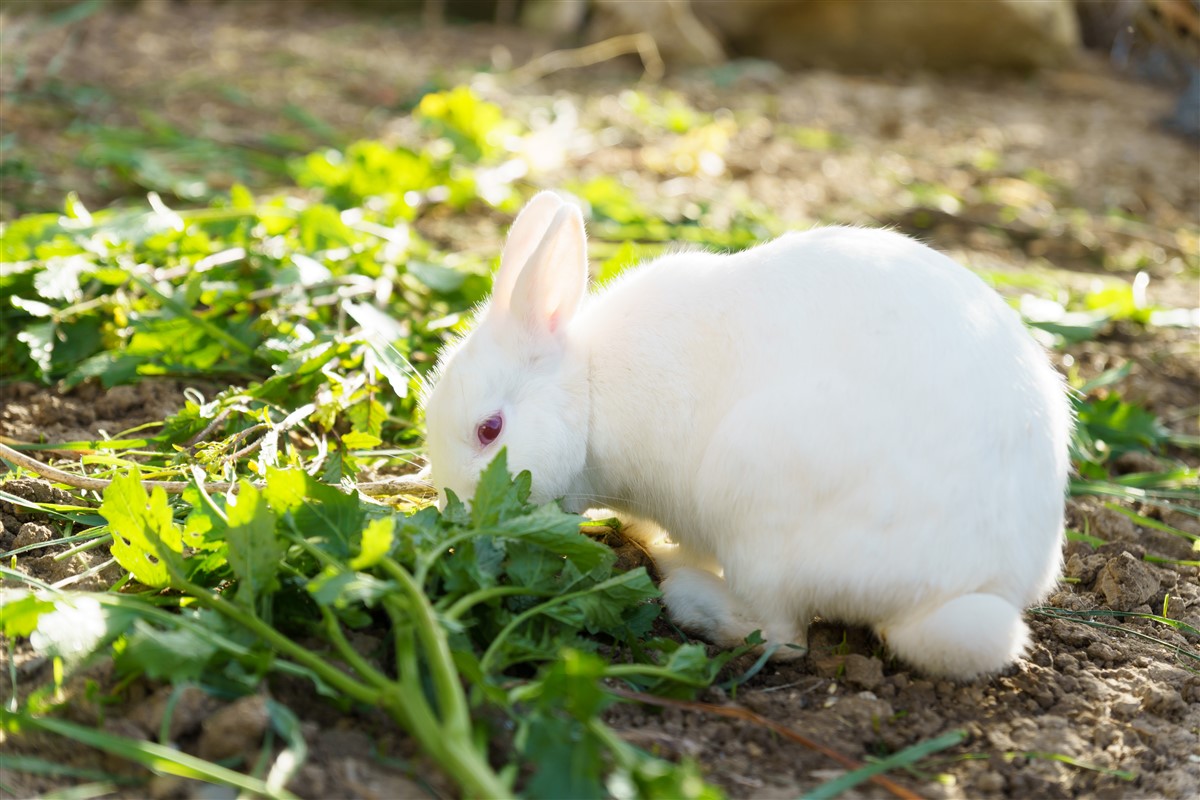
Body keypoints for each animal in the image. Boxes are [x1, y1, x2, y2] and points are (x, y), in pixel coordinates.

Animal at [422, 190, 1070, 681]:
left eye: (489, 430)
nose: (464, 521)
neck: (590, 388)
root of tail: (970, 586)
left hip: (754, 507)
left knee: (782, 635)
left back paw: (686, 590)